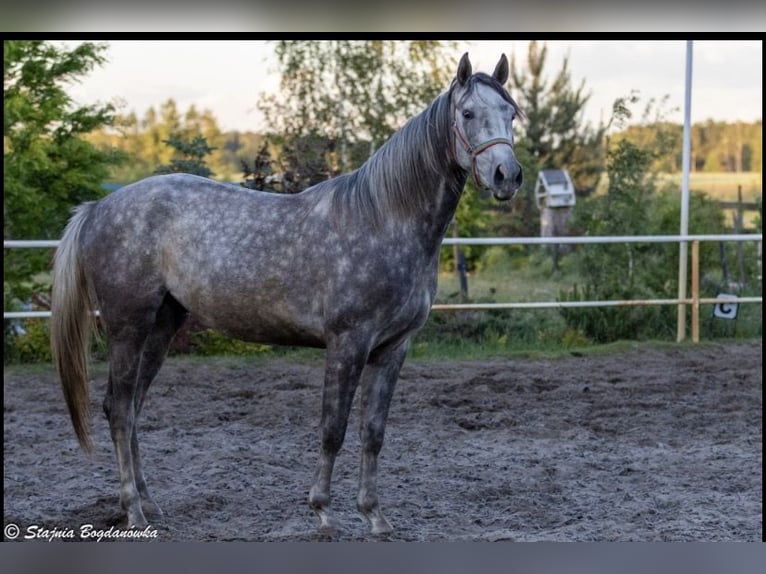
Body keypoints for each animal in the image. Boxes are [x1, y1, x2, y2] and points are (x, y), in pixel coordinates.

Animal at [50, 52, 523, 535]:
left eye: (511, 113)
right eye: (468, 114)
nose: (507, 175)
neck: (385, 220)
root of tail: (98, 208)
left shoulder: (393, 349)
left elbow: (373, 433)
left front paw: (374, 515)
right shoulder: (348, 343)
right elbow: (333, 428)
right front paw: (323, 510)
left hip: (163, 326)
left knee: (132, 408)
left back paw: (148, 502)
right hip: (128, 326)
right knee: (119, 409)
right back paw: (133, 510)